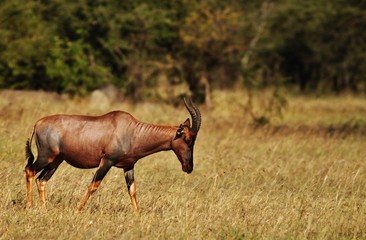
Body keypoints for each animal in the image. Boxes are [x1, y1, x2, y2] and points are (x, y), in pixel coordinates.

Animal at [24, 97, 202, 210]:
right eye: (187, 139)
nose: (189, 167)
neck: (132, 130)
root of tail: (38, 123)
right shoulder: (107, 161)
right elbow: (93, 185)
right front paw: (77, 210)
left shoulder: (128, 166)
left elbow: (132, 190)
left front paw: (138, 216)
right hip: (45, 156)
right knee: (30, 170)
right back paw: (30, 206)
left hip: (56, 161)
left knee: (42, 180)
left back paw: (45, 209)